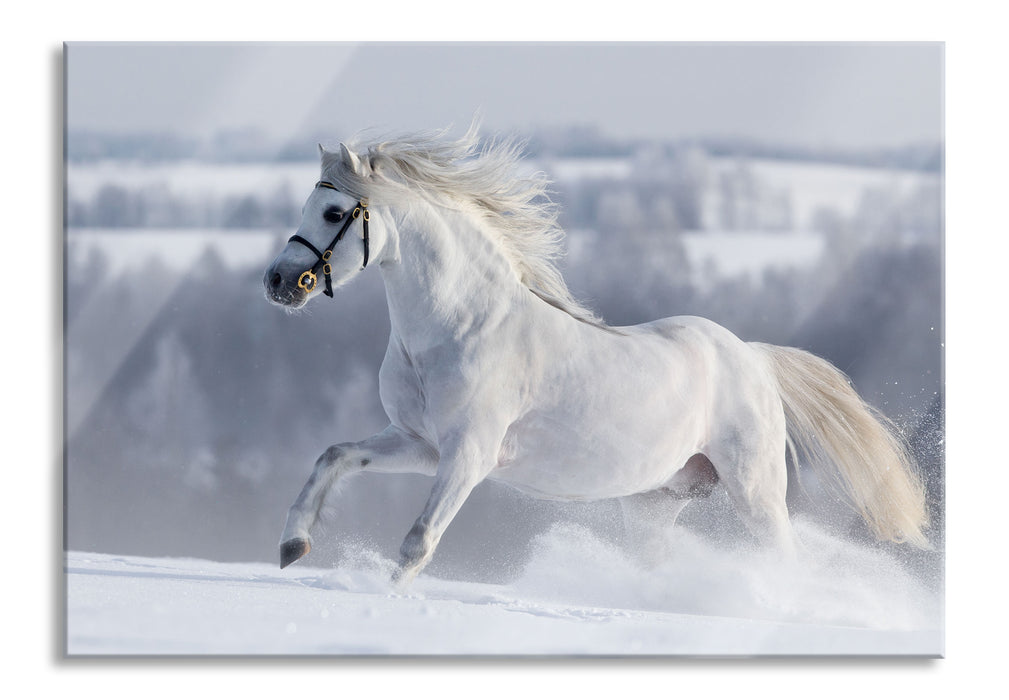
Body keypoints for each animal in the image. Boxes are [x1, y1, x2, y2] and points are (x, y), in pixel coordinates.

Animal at [262, 127, 928, 585]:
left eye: (332, 212)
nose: (279, 281)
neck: (459, 329)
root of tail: (753, 360)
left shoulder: (470, 454)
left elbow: (419, 541)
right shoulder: (420, 444)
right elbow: (333, 456)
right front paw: (292, 547)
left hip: (756, 492)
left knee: (784, 560)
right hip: (656, 502)